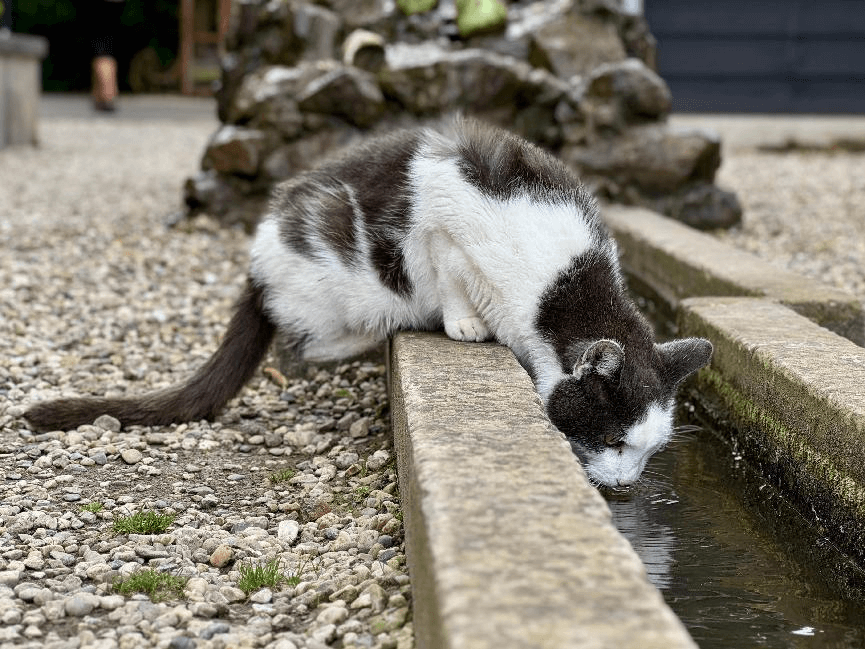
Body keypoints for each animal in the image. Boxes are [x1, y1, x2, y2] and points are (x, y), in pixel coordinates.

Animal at [23, 119, 712, 488]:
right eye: (616, 441)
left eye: (647, 454)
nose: (626, 486)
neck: (565, 284)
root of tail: (256, 259)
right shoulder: (442, 221)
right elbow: (450, 275)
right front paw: (465, 322)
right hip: (334, 278)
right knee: (300, 349)